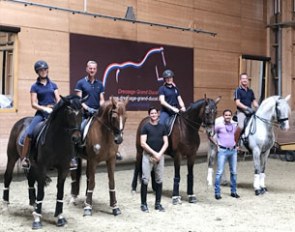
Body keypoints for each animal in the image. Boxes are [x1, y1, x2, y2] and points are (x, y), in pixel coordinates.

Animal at [2, 95, 84, 229]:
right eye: (69, 113)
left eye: (82, 113)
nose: (76, 138)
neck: (57, 139)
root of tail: (21, 121)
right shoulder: (42, 167)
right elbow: (41, 192)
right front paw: (37, 220)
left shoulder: (64, 168)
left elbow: (60, 192)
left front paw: (60, 217)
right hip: (12, 156)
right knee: (8, 177)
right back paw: (5, 206)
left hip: (30, 164)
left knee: (30, 179)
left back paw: (34, 204)